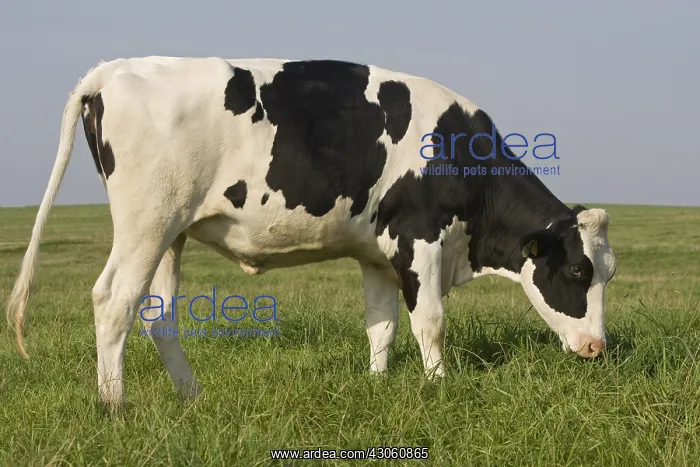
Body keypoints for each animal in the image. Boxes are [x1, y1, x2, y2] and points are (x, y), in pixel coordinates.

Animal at [6, 57, 617, 407]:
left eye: (608, 274)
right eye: (576, 269)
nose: (597, 347)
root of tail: (113, 68)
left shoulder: (377, 253)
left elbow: (381, 325)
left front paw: (377, 386)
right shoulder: (418, 240)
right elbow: (431, 323)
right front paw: (438, 388)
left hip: (168, 233)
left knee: (158, 316)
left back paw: (192, 397)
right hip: (144, 223)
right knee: (113, 302)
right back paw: (115, 407)